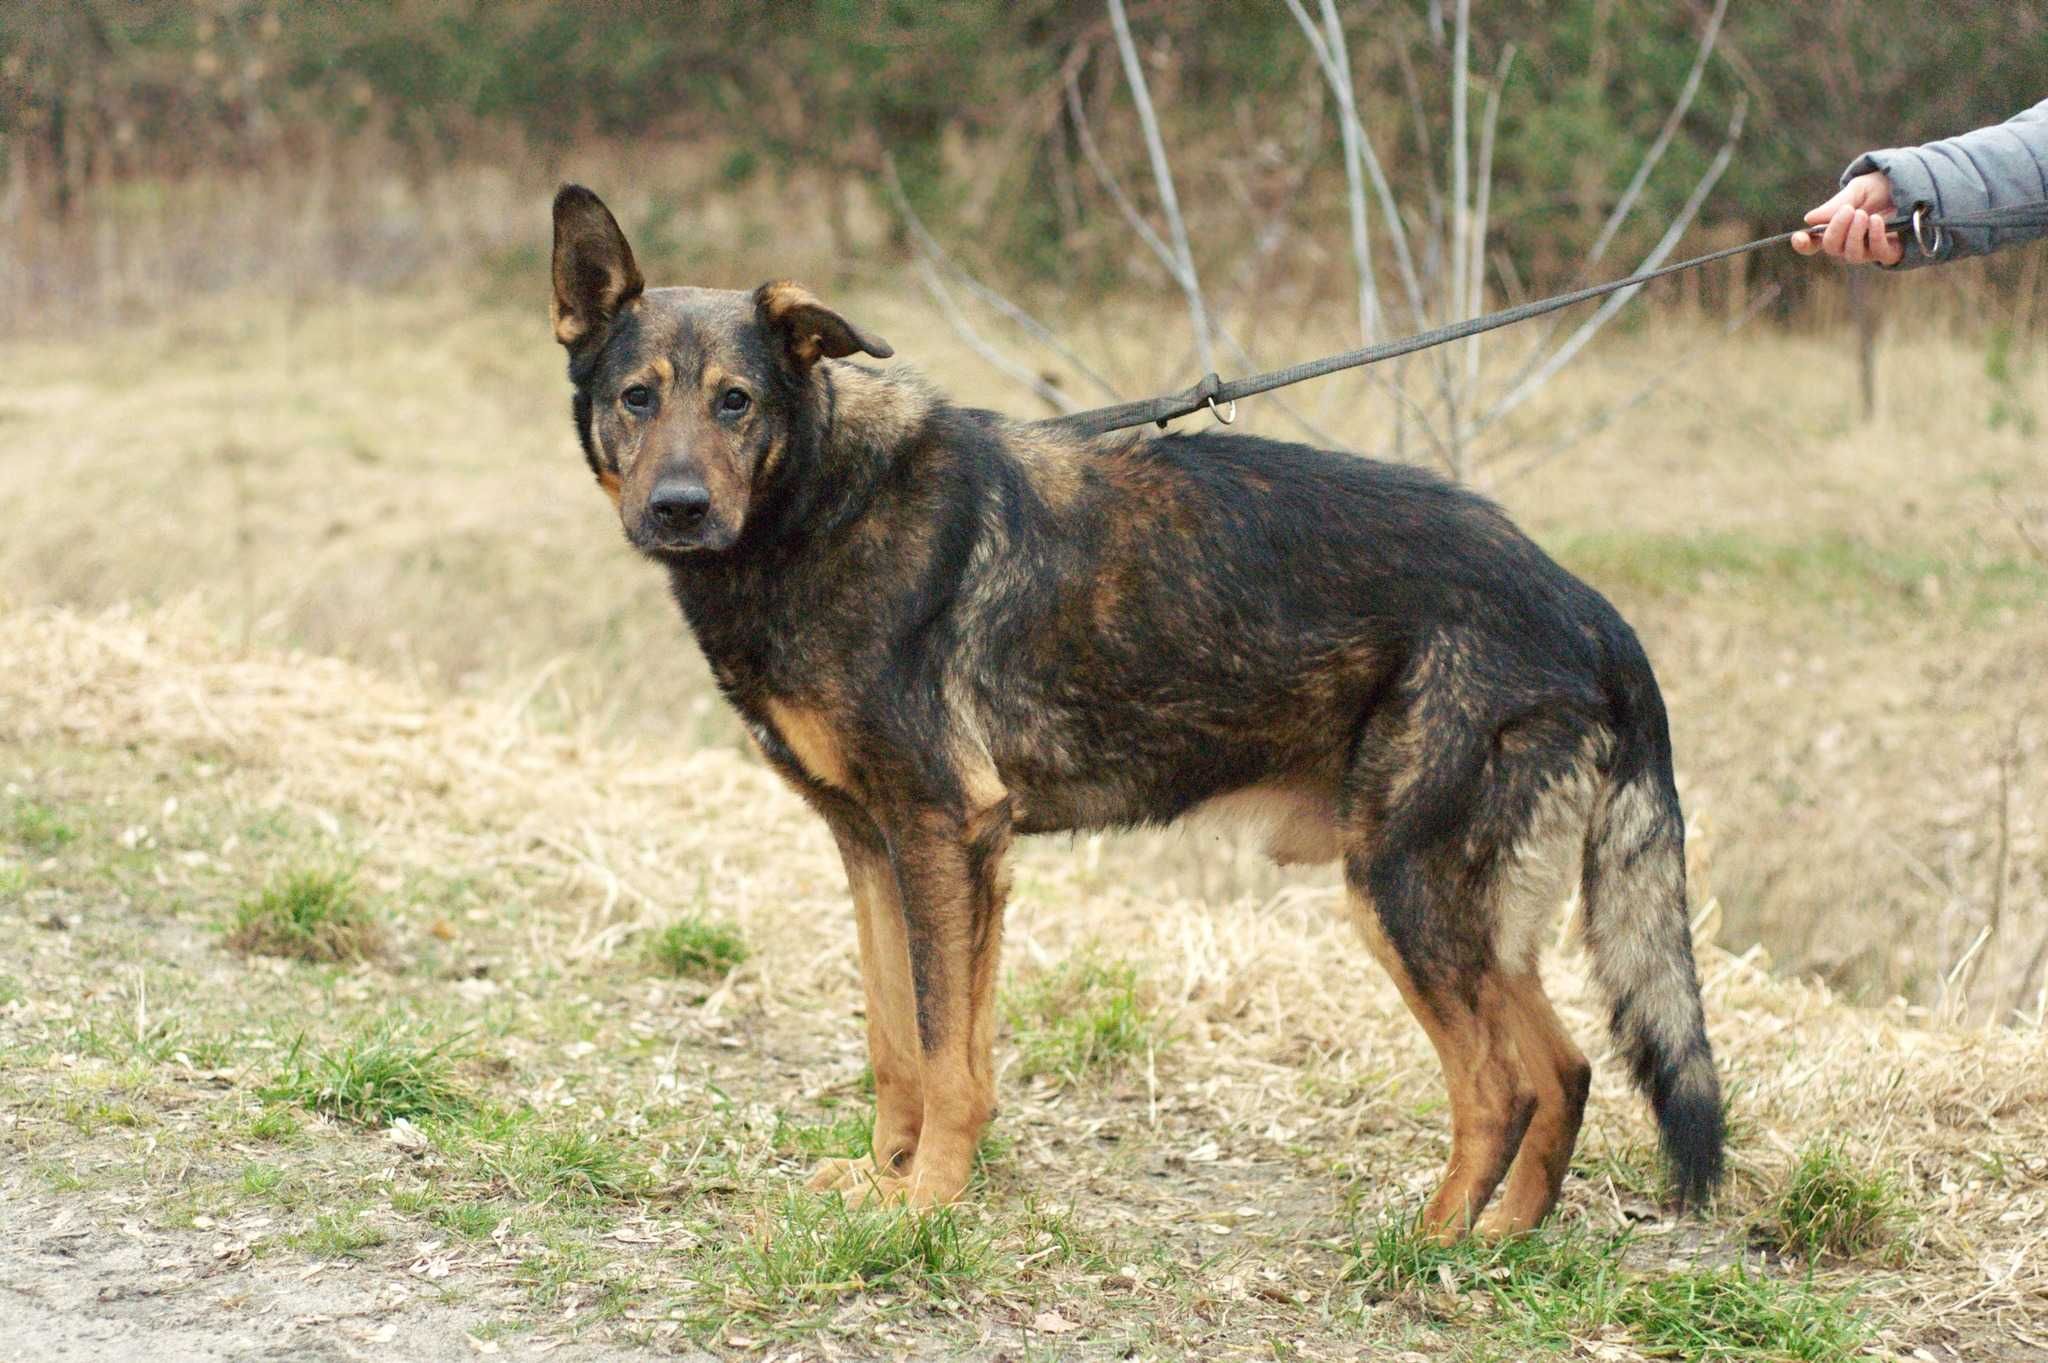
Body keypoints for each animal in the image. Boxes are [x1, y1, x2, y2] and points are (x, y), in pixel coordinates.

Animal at [548, 180, 1728, 1227]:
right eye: (637, 397)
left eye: (735, 402)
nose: (678, 508)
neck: (817, 501)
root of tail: (1587, 608)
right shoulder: (876, 847)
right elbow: (902, 1044)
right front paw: (889, 1178)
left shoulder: (943, 831)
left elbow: (943, 1053)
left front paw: (923, 1206)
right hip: (1469, 911)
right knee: (1565, 1067)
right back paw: (1498, 1240)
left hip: (1402, 886)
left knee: (1501, 1083)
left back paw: (1427, 1245)